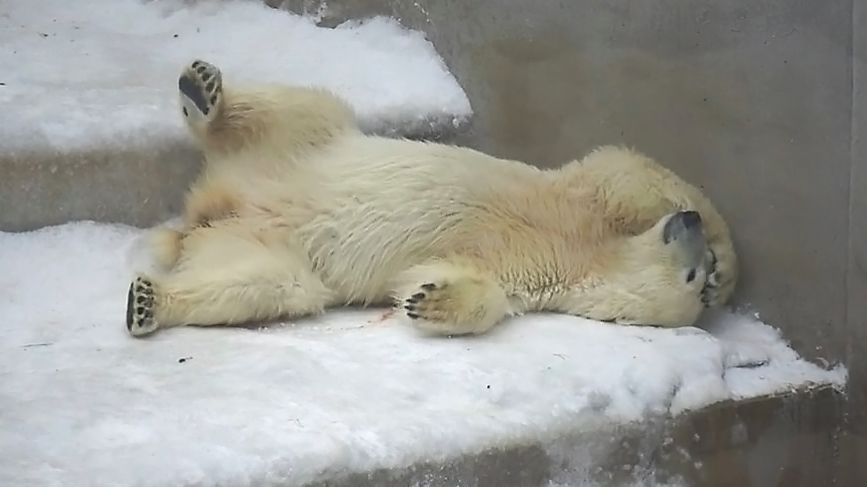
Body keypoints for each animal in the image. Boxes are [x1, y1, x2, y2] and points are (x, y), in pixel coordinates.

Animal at [125, 59, 737, 338]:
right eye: (695, 272)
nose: (686, 227)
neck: (590, 250)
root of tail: (209, 207)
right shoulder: (572, 193)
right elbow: (623, 170)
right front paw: (726, 262)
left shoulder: (528, 275)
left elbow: (465, 285)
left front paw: (429, 299)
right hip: (306, 147)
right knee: (305, 109)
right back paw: (202, 88)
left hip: (254, 243)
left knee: (268, 284)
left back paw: (150, 301)